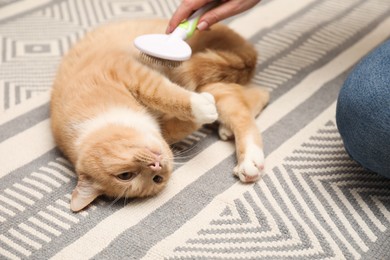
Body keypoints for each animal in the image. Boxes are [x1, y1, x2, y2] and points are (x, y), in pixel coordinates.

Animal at [50, 19, 270, 212]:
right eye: (157, 180)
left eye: (124, 175)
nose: (155, 166)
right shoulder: (166, 128)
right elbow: (183, 122)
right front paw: (202, 113)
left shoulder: (127, 71)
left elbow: (163, 94)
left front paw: (199, 105)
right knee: (256, 95)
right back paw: (229, 133)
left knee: (243, 110)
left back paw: (250, 161)